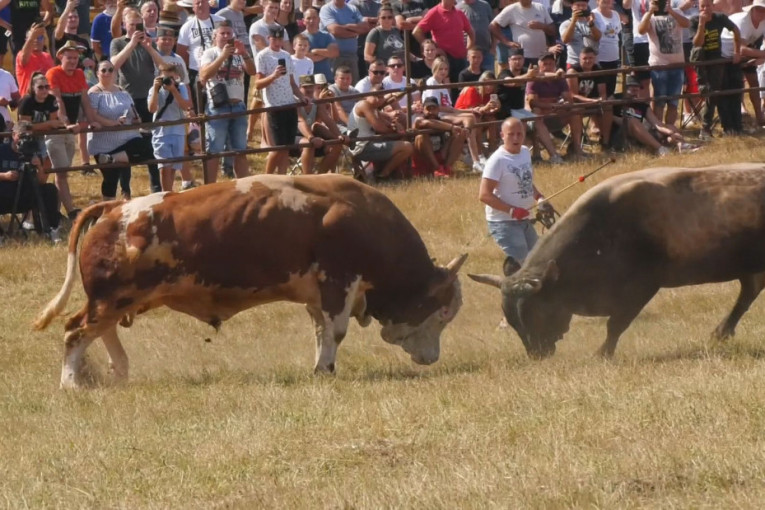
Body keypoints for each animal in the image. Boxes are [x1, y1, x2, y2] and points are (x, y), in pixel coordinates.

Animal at [35, 173, 466, 388]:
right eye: (444, 311)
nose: (432, 358)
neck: (361, 218)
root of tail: (117, 208)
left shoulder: (318, 294)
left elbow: (321, 332)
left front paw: (320, 367)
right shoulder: (338, 283)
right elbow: (336, 331)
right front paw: (326, 370)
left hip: (115, 300)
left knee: (99, 330)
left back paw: (118, 373)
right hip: (111, 298)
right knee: (76, 331)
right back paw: (72, 383)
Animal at [468, 163, 764, 358]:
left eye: (536, 313)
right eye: (511, 320)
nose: (537, 354)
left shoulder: (641, 287)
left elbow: (616, 323)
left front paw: (602, 353)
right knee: (748, 292)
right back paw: (721, 331)